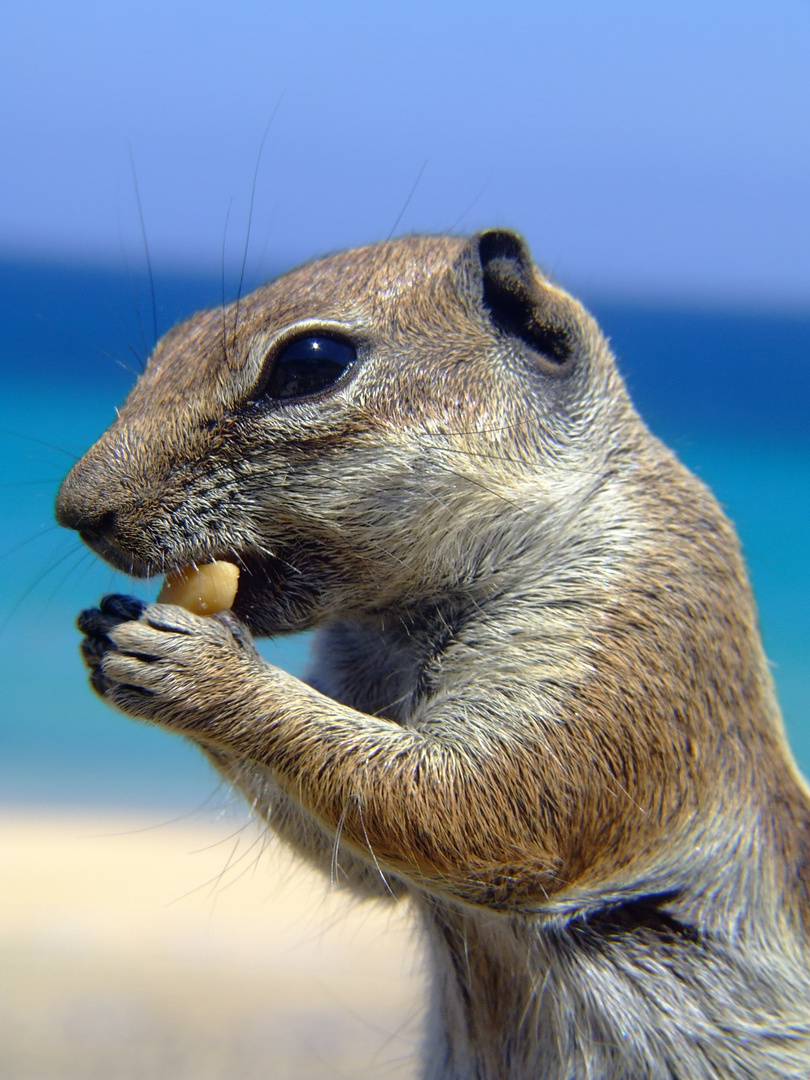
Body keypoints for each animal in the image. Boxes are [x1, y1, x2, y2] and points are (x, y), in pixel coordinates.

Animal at [57, 232, 810, 1075]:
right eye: (173, 340)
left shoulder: (622, 639)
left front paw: (203, 670)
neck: (398, 626)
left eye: (310, 363)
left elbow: (480, 803)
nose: (74, 510)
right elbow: (367, 862)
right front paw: (106, 629)